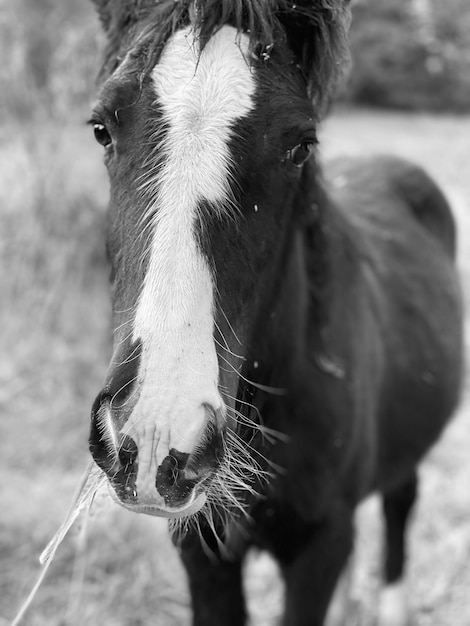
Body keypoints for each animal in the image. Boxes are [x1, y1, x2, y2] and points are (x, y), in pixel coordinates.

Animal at [87, 2, 462, 620]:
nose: (158, 432)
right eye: (101, 128)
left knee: (399, 505)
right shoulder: (202, 549)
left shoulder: (318, 547)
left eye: (302, 145)